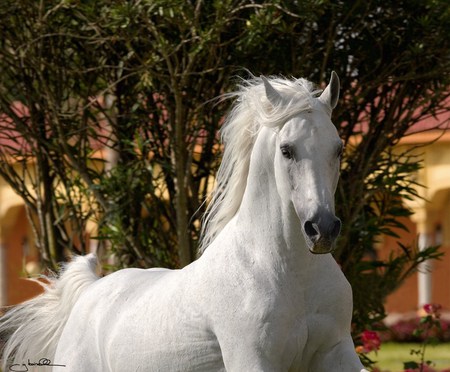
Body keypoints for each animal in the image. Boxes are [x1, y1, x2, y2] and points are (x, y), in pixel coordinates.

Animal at [1, 72, 368, 372]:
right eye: (287, 150)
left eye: (338, 148)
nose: (322, 229)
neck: (291, 276)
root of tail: (89, 292)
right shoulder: (252, 359)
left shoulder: (338, 351)